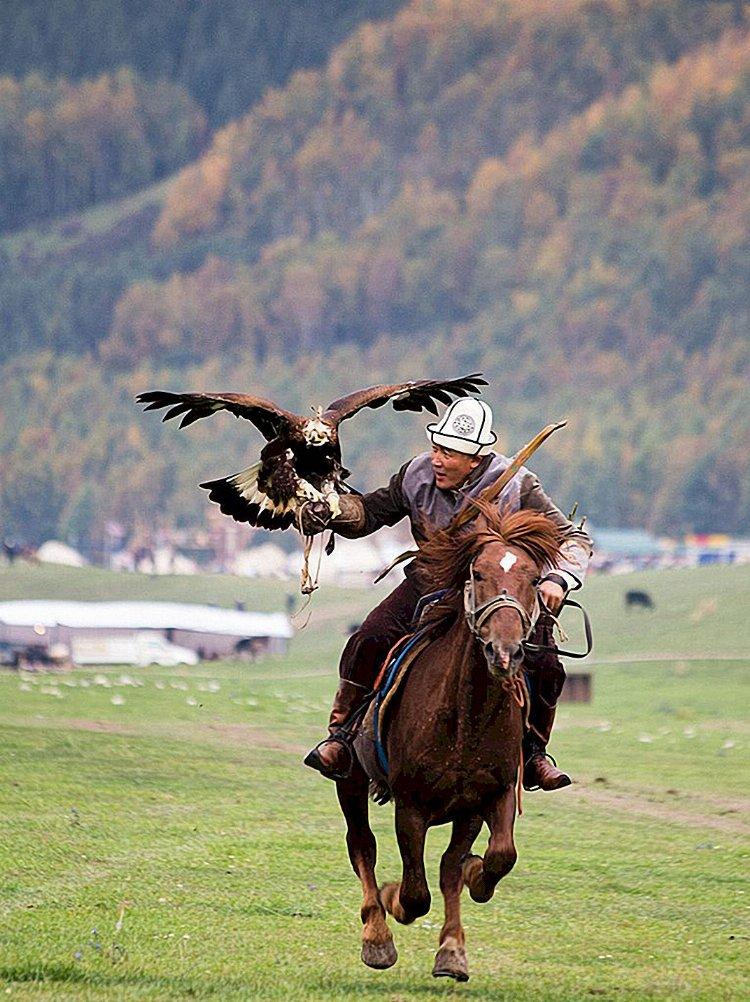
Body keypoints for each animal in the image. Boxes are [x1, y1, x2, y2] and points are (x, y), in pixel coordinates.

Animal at [334, 501, 560, 977]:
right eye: (477, 572)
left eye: (534, 579)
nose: (504, 651)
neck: (463, 717)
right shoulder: (411, 807)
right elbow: (415, 892)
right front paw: (393, 902)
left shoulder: (487, 799)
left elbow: (486, 860)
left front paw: (453, 948)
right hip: (350, 780)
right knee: (361, 844)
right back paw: (376, 935)